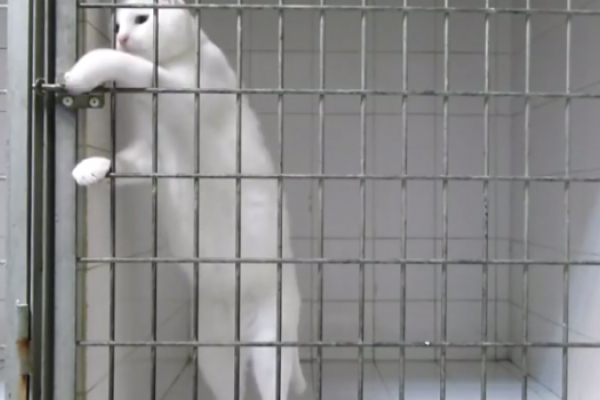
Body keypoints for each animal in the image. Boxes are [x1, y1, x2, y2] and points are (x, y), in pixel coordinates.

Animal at [63, 1, 307, 399]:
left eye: (141, 19)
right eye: (115, 25)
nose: (122, 37)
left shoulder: (184, 95)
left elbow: (138, 70)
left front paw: (85, 70)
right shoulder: (151, 157)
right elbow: (123, 162)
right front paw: (91, 167)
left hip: (271, 343)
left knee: (276, 384)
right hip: (212, 351)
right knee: (229, 386)